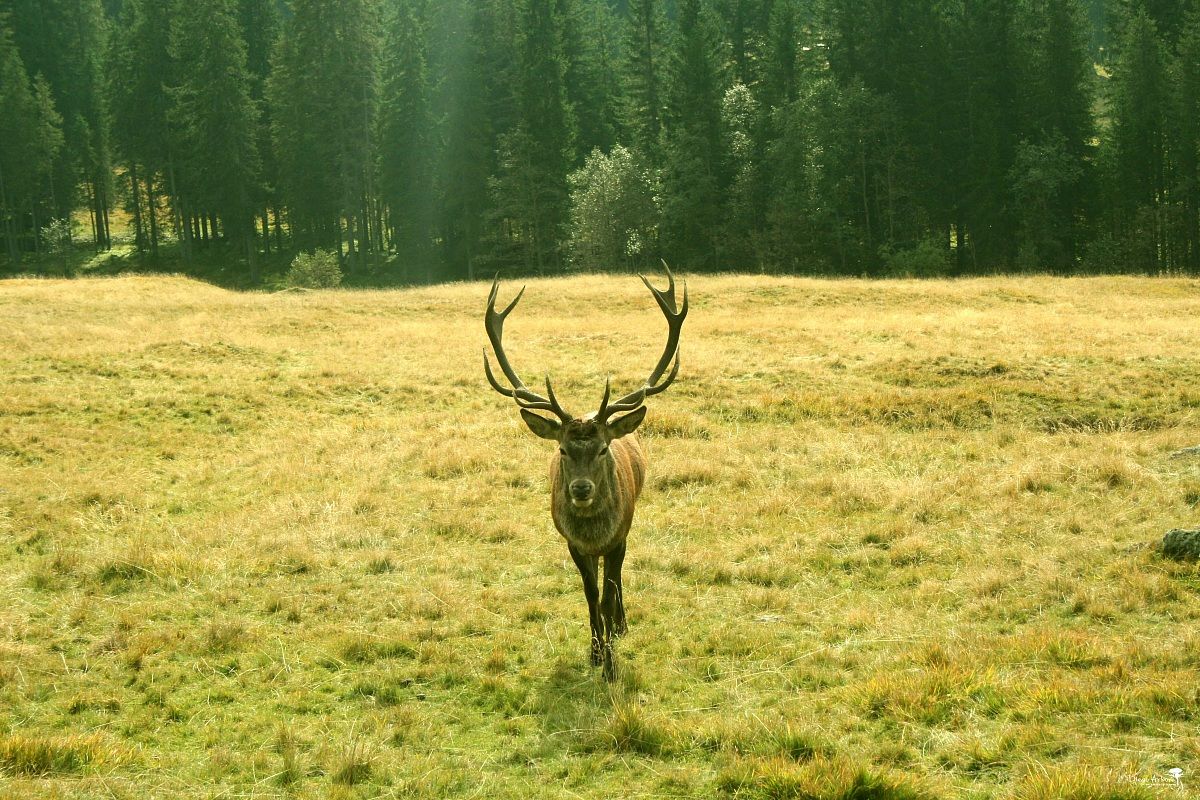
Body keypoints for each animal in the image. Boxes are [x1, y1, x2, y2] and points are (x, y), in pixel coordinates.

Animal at [484, 264, 688, 682]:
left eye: (603, 448)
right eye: (562, 449)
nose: (580, 489)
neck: (594, 533)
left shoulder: (618, 536)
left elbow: (608, 597)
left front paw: (611, 663)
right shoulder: (573, 543)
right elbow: (591, 596)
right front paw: (595, 652)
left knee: (618, 580)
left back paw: (622, 625)